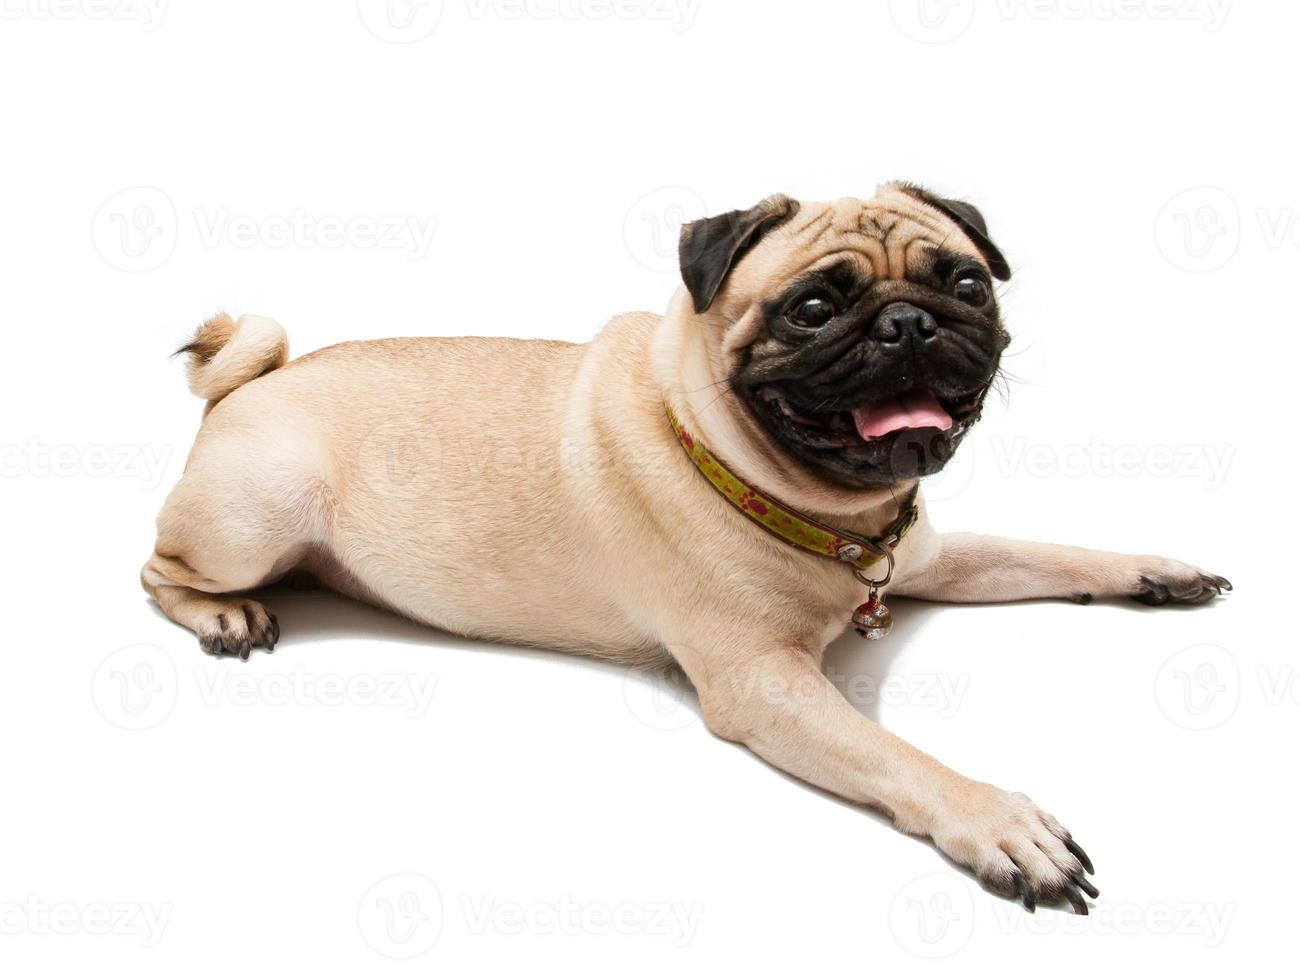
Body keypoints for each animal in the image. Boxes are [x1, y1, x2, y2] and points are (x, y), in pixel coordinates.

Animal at [142, 184, 1227, 915]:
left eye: (964, 282)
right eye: (813, 309)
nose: (910, 322)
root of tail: (256, 380)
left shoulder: (927, 556)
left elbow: (1042, 551)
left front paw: (1150, 569)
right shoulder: (765, 685)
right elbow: (900, 756)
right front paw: (998, 820)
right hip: (261, 512)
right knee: (158, 568)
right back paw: (225, 613)